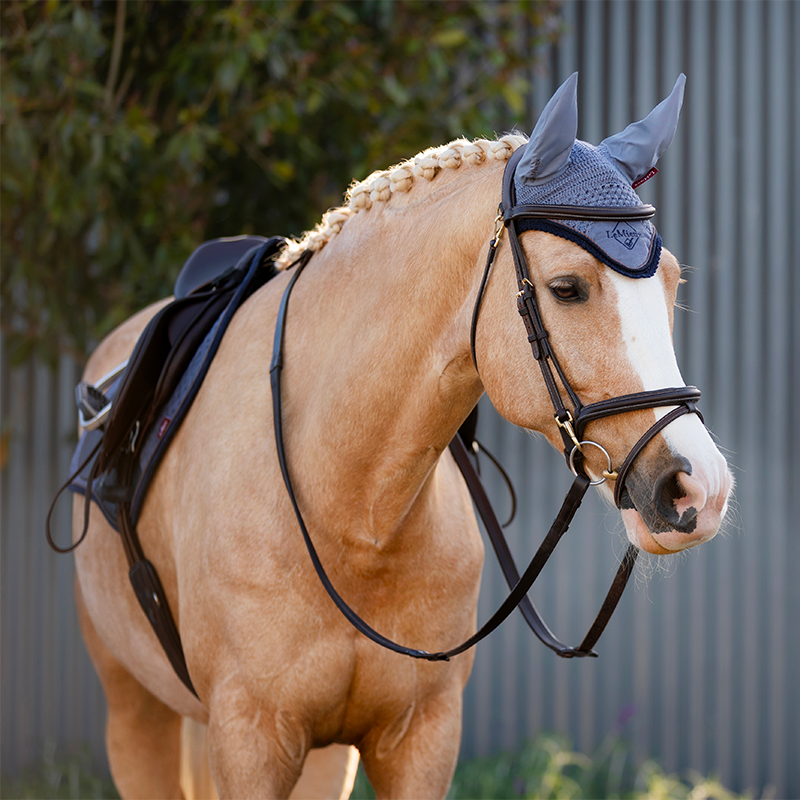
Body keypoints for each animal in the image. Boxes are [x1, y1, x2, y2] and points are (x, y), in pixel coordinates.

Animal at [73, 73, 732, 792]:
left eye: (671, 282)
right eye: (566, 288)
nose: (698, 488)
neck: (355, 512)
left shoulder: (421, 738)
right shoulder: (249, 739)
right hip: (135, 711)